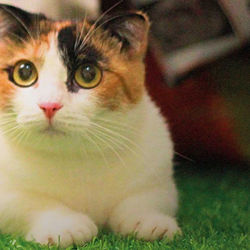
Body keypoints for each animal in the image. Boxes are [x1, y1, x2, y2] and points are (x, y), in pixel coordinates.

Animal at [0, 2, 181, 247]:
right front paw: (64, 226)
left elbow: (148, 197)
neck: (76, 156)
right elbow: (28, 202)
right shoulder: (8, 195)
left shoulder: (159, 179)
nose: (49, 105)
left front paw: (149, 222)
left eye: (88, 74)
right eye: (24, 72)